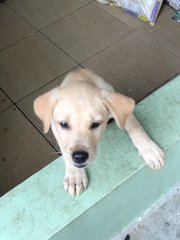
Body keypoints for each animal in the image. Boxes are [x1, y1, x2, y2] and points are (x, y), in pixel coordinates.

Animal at [33, 68, 165, 196]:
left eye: (96, 124)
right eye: (64, 124)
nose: (79, 156)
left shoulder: (122, 114)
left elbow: (135, 127)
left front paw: (149, 149)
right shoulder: (53, 125)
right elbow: (64, 148)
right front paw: (75, 176)